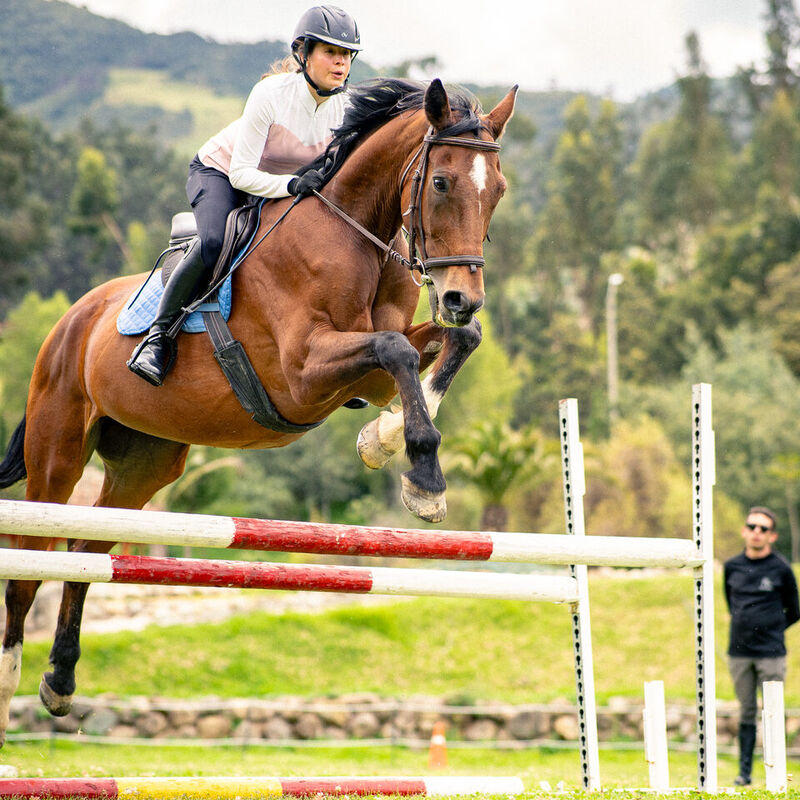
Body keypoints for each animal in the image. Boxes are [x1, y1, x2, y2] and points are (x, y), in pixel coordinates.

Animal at [0, 77, 516, 745]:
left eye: (497, 189)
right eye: (443, 183)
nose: (461, 297)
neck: (357, 235)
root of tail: (70, 319)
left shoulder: (366, 375)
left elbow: (448, 344)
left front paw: (381, 440)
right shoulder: (301, 374)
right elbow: (396, 348)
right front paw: (424, 477)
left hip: (144, 464)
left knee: (88, 551)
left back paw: (60, 681)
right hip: (57, 453)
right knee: (29, 558)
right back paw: (10, 676)